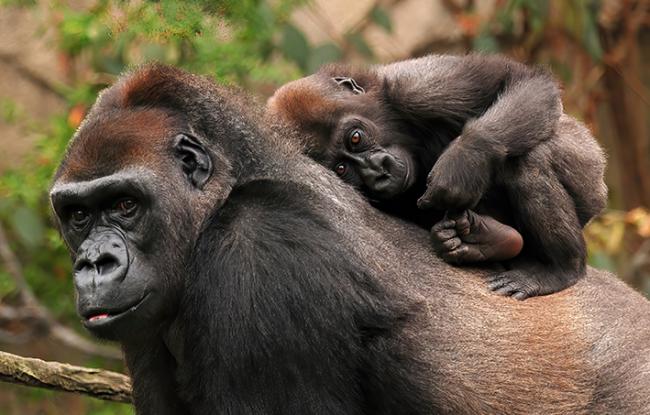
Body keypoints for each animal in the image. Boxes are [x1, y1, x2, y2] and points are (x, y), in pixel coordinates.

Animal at [266, 53, 604, 300]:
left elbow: (522, 81)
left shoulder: (418, 86)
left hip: (590, 174)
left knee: (530, 159)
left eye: (356, 138)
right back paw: (487, 239)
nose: (377, 171)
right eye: (341, 170)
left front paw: (463, 163)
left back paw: (560, 268)